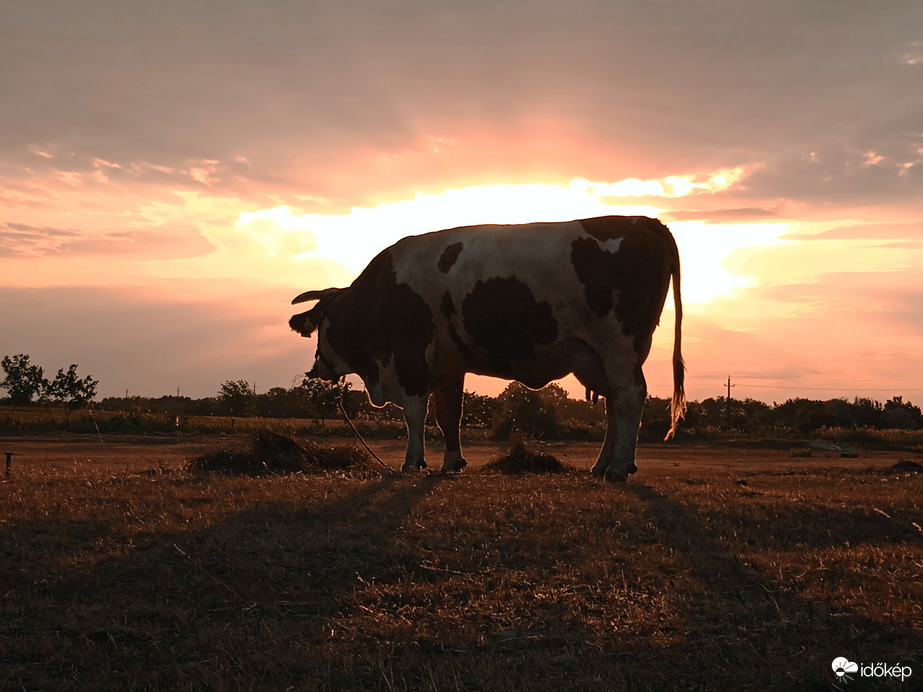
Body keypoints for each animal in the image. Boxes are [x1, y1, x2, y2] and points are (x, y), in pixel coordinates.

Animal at [288, 216, 684, 482]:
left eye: (320, 326)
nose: (315, 368)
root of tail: (642, 221)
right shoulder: (448, 364)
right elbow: (448, 415)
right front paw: (451, 463)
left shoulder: (411, 357)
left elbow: (415, 415)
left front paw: (412, 462)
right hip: (600, 357)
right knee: (614, 404)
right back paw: (603, 465)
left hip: (619, 346)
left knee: (629, 398)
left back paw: (618, 467)